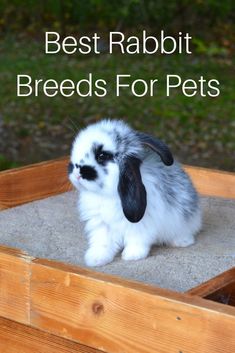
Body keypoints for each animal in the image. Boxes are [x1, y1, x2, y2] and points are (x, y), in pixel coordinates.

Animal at [68, 117, 202, 264]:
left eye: (102, 156)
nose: (77, 173)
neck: (106, 195)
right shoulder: (102, 225)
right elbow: (103, 242)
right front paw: (95, 259)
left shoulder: (141, 226)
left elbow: (137, 240)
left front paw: (131, 256)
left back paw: (182, 241)